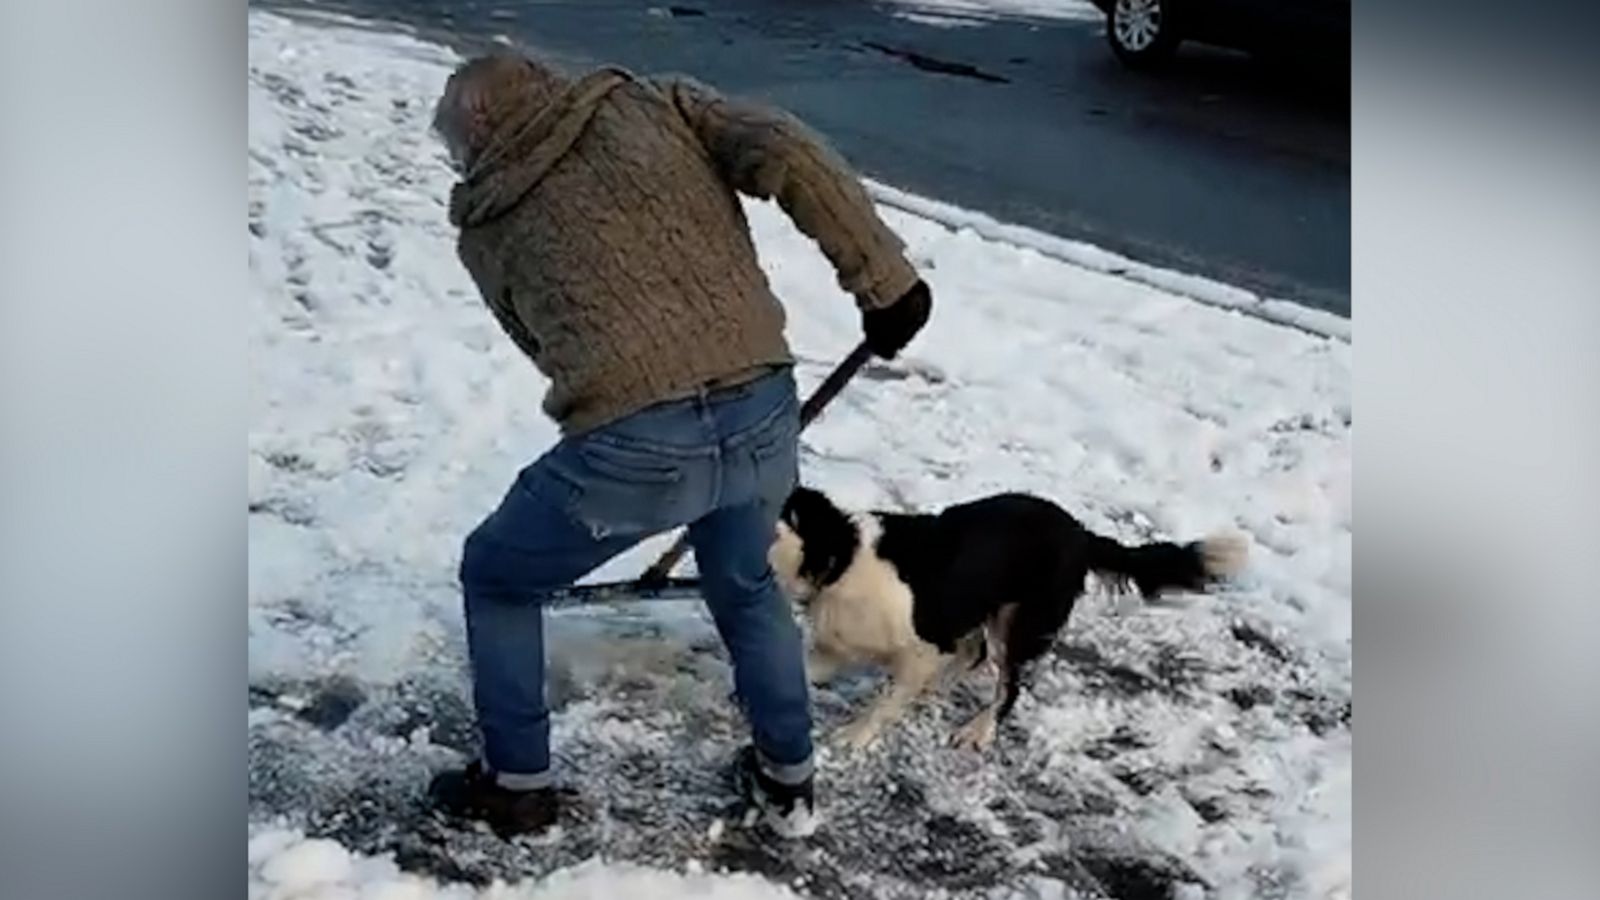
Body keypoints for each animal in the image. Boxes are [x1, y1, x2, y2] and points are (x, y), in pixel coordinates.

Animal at [764, 486, 1248, 746]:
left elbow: (885, 703)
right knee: (973, 654)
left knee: (1007, 686)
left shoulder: (924, 644)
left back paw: (978, 730)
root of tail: (1080, 533)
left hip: (1017, 623)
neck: (839, 560)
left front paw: (856, 736)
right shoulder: (837, 646)